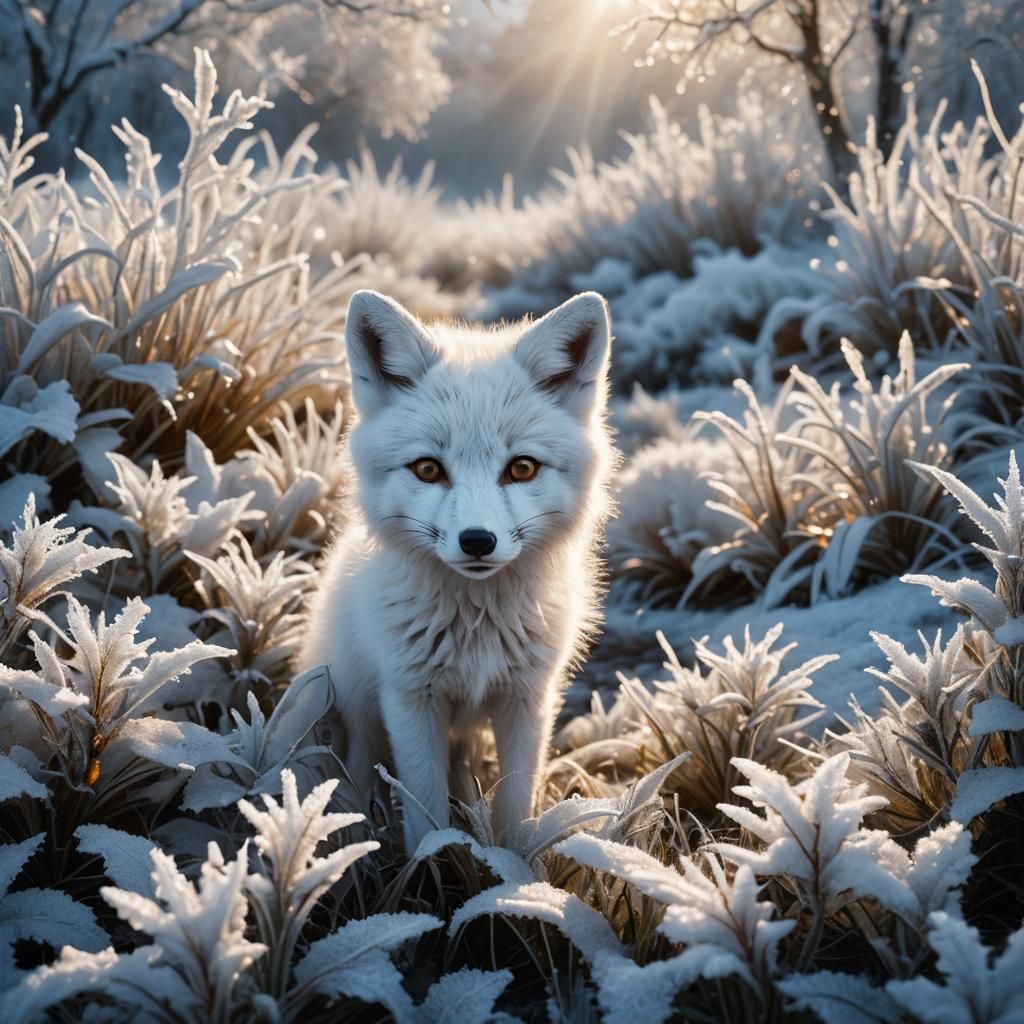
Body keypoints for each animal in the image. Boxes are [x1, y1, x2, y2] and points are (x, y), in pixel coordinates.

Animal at [302, 289, 616, 853]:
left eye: (522, 468)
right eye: (428, 469)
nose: (477, 541)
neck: (476, 625)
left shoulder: (526, 699)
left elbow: (514, 813)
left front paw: (513, 870)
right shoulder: (410, 699)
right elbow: (427, 819)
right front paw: (434, 867)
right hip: (359, 714)